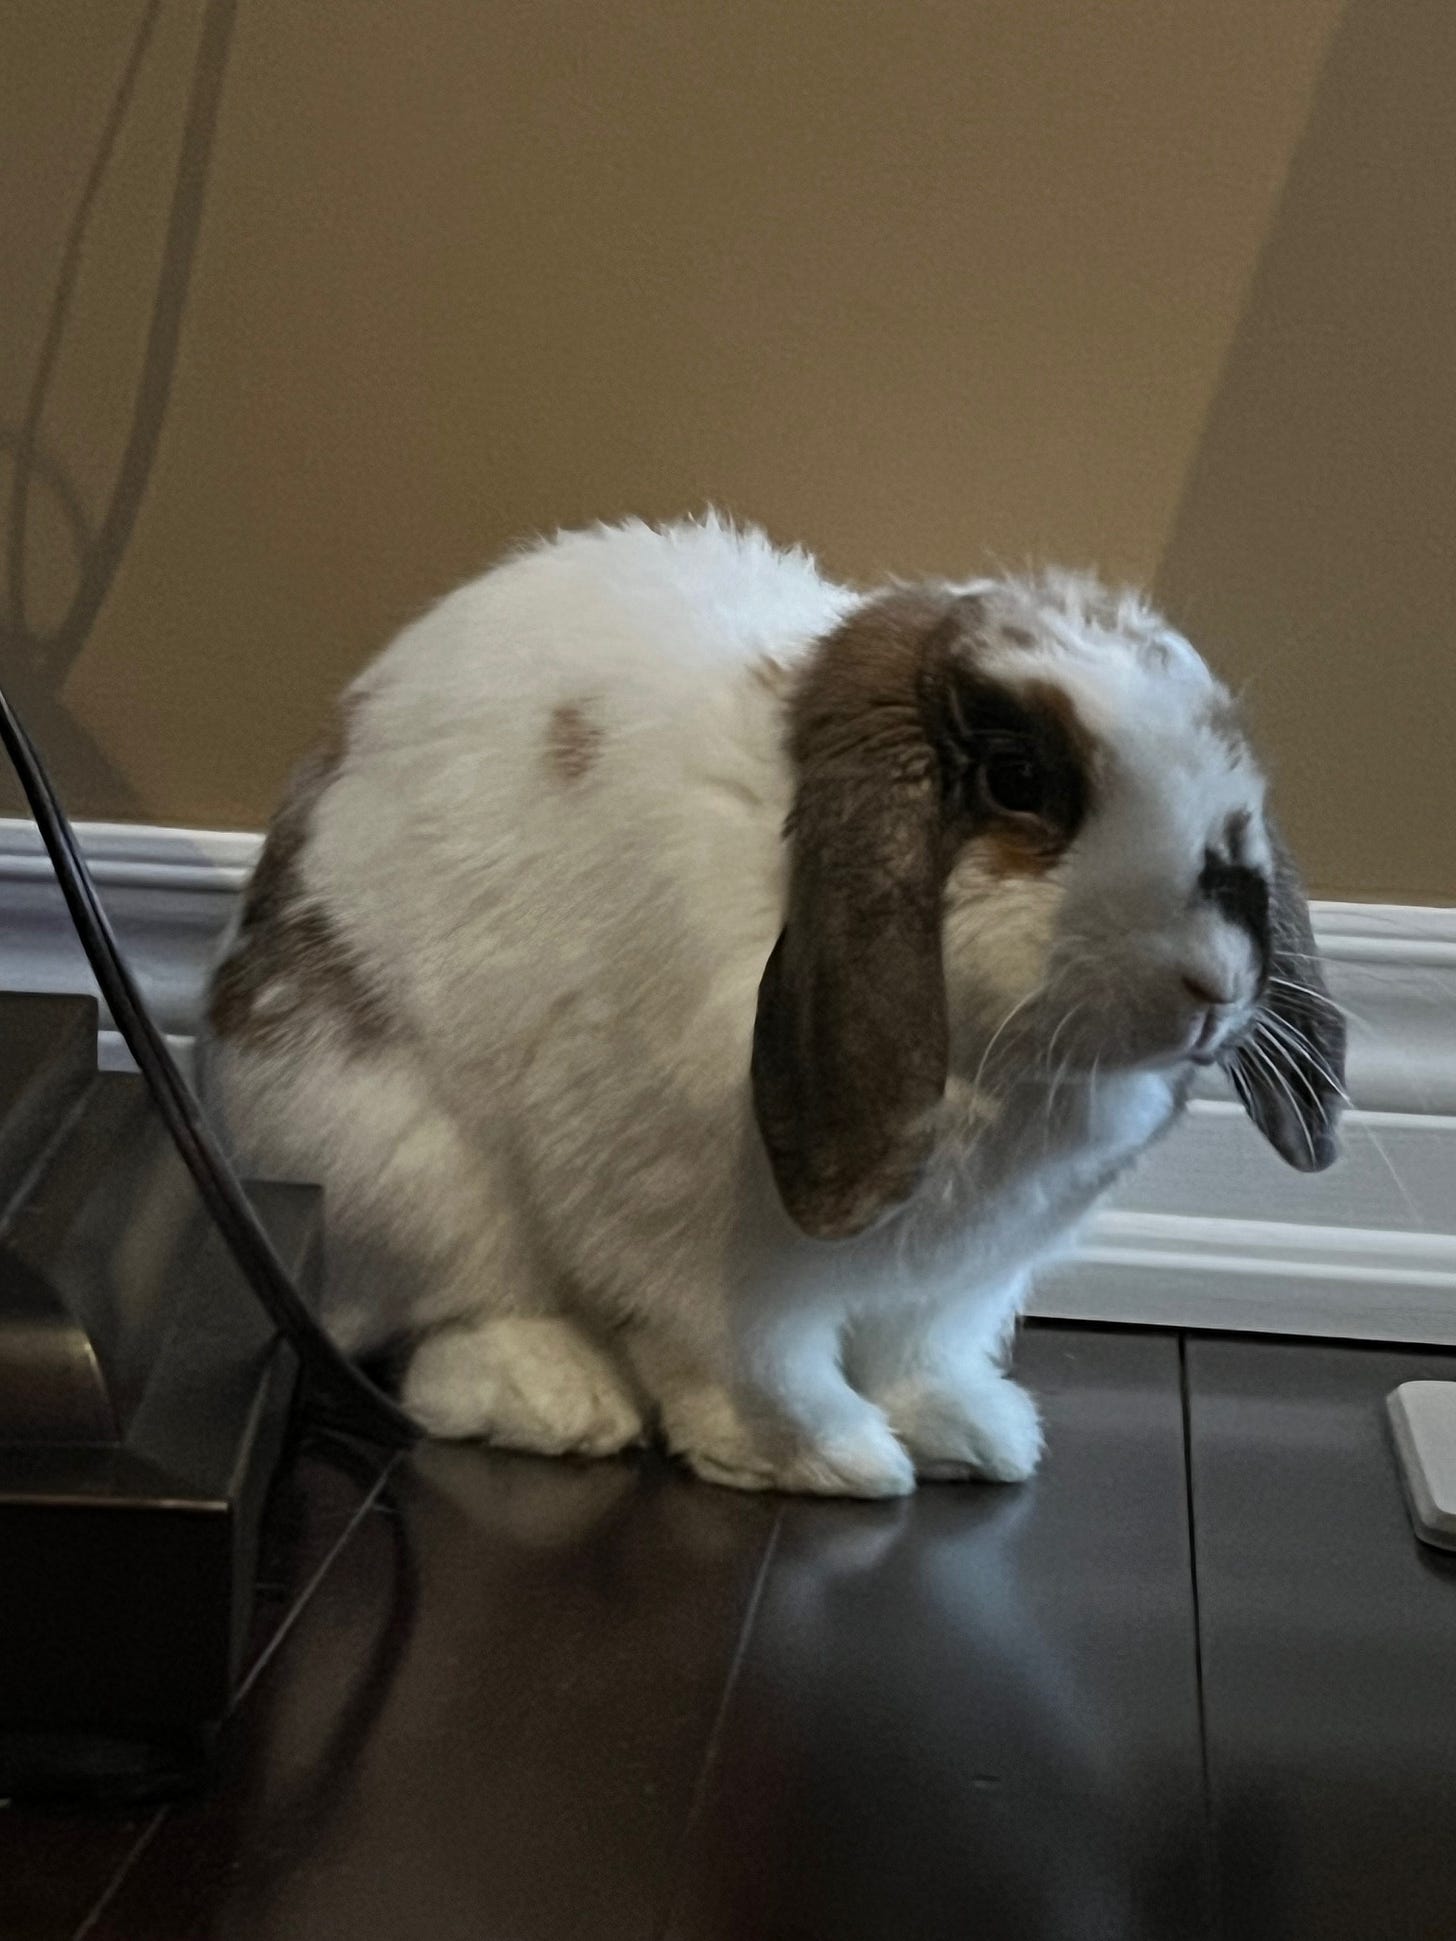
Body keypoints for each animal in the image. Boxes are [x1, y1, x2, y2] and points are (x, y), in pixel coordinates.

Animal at [199, 516, 1351, 1498]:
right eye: (1019, 779)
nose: (1214, 985)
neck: (995, 1073)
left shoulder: (960, 1279)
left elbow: (921, 1351)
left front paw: (975, 1434)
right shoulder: (703, 1249)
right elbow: (750, 1361)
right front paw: (829, 1458)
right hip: (401, 1169)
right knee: (445, 1323)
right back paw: (562, 1398)